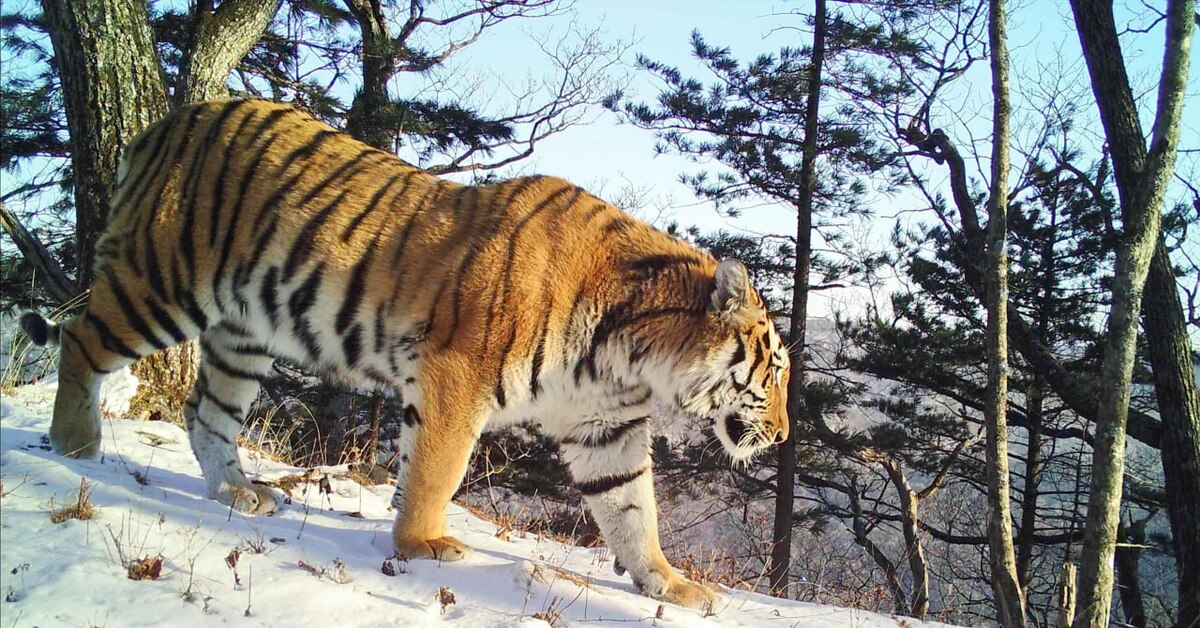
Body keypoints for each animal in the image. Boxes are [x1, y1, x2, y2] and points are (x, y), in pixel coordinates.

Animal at [21, 98, 787, 609]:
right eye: (776, 371)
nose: (780, 434)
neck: (631, 354)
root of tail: (160, 126)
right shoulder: (458, 374)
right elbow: (436, 470)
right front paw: (423, 546)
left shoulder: (606, 425)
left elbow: (632, 511)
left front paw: (673, 585)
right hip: (161, 281)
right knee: (81, 340)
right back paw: (76, 442)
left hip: (243, 334)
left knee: (204, 412)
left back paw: (240, 492)